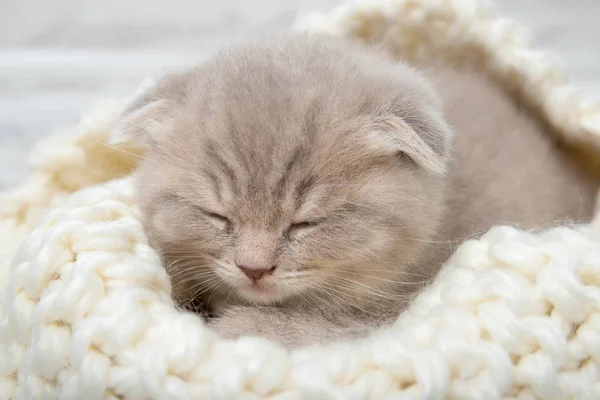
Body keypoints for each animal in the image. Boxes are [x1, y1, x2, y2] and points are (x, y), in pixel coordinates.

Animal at [110, 32, 596, 348]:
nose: (254, 269)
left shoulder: (394, 311)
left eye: (305, 223)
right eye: (217, 216)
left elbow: (310, 327)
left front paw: (233, 327)